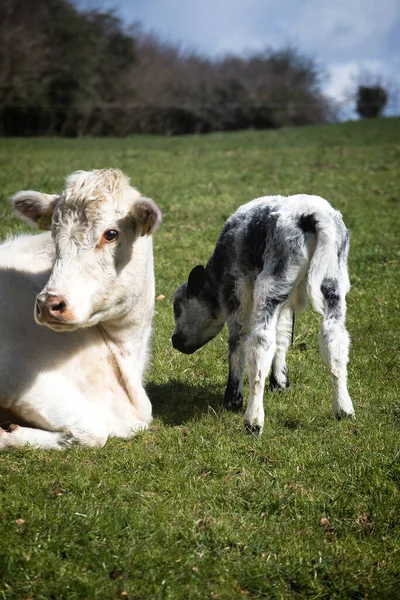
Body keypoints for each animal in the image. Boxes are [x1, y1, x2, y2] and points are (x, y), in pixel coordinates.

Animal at [172, 195, 356, 434]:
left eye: (177, 307)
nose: (174, 341)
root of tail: (311, 214)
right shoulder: (286, 301)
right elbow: (284, 335)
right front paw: (280, 383)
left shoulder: (235, 288)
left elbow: (238, 341)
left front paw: (233, 399)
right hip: (332, 279)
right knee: (334, 337)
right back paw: (343, 409)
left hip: (272, 279)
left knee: (260, 342)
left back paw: (253, 420)